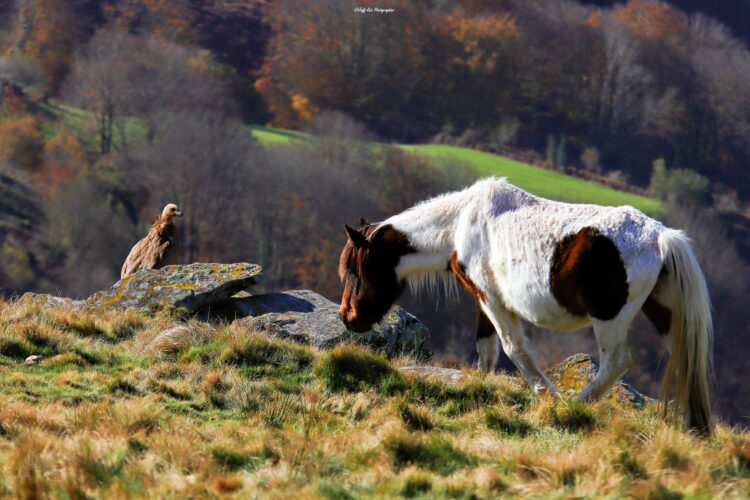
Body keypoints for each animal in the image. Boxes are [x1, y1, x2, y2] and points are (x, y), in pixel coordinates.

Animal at [340, 178, 716, 436]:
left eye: (355, 271)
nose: (348, 318)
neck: (461, 222)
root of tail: (661, 238)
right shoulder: (482, 299)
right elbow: (487, 350)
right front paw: (482, 389)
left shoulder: (494, 300)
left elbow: (514, 349)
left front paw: (547, 397)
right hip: (665, 316)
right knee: (685, 359)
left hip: (609, 319)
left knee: (617, 362)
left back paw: (576, 405)